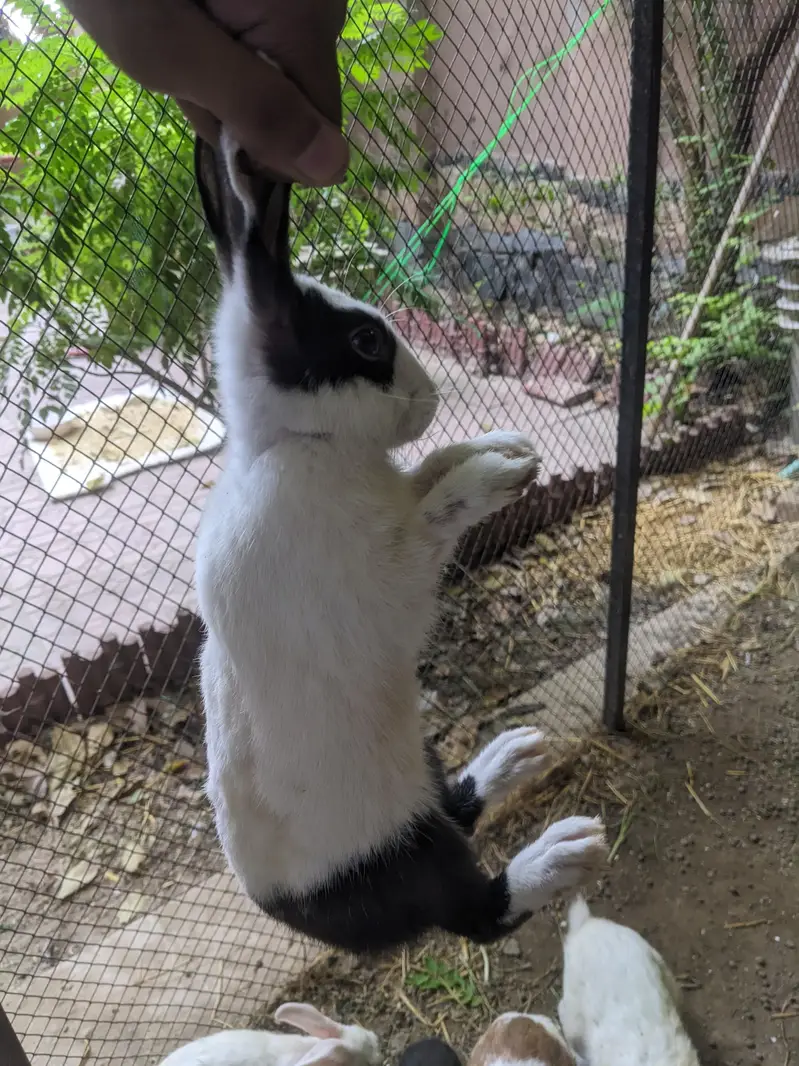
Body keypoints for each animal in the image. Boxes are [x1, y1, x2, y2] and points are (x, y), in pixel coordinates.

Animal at [193, 129, 608, 956]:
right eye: (365, 340)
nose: (431, 400)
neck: (303, 443)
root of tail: (292, 914)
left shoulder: (395, 496)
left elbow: (423, 475)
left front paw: (500, 446)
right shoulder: (386, 583)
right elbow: (430, 519)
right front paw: (496, 474)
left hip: (420, 757)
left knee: (457, 807)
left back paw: (509, 754)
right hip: (412, 850)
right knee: (477, 910)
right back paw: (560, 852)